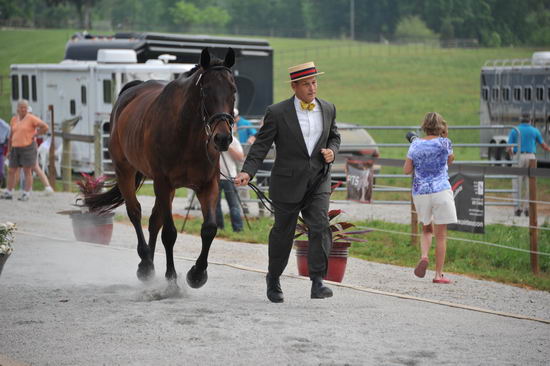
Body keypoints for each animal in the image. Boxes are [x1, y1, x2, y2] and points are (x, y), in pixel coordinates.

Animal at [85, 48, 236, 288]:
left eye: (233, 90)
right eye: (205, 91)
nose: (222, 138)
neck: (187, 135)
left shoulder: (207, 185)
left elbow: (209, 229)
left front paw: (197, 274)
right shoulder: (162, 183)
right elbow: (170, 233)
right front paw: (171, 278)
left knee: (154, 221)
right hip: (125, 172)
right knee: (135, 213)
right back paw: (146, 263)